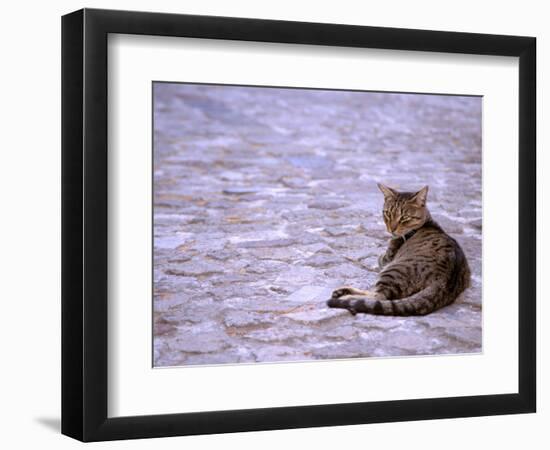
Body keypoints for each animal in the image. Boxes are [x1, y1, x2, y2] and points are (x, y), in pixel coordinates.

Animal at [328, 184, 474, 316]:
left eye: (405, 217)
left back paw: (345, 296)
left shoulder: (387, 259)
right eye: (388, 214)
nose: (391, 229)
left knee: (379, 297)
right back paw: (342, 292)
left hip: (393, 271)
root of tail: (443, 281)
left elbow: (380, 258)